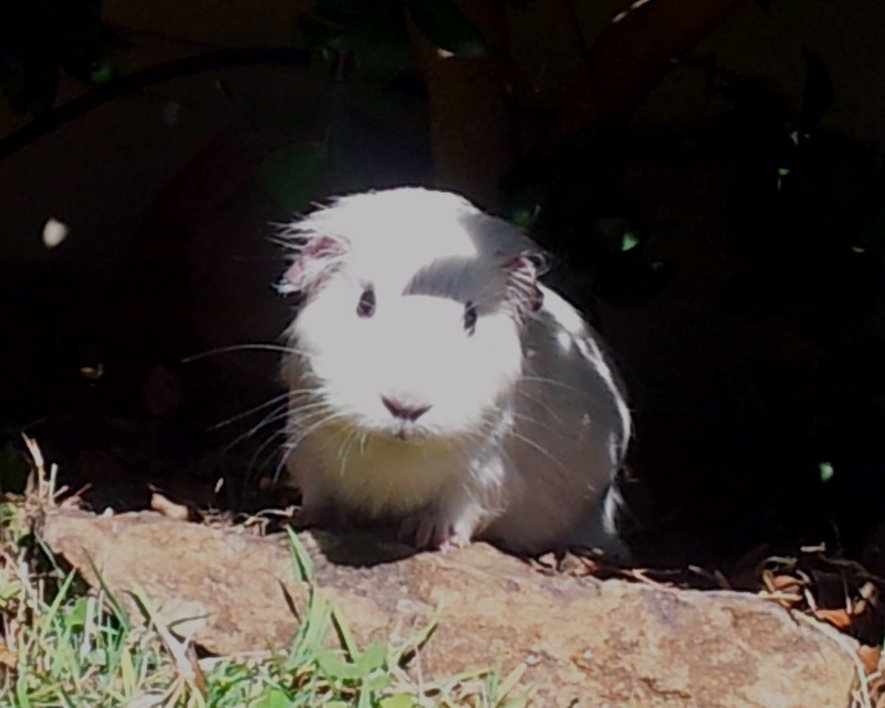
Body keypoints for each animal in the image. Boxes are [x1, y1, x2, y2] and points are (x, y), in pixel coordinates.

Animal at [277, 187, 632, 558]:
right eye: (365, 303)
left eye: (471, 318)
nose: (406, 406)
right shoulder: (305, 444)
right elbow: (318, 493)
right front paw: (307, 518)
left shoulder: (483, 474)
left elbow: (457, 508)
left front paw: (433, 536)